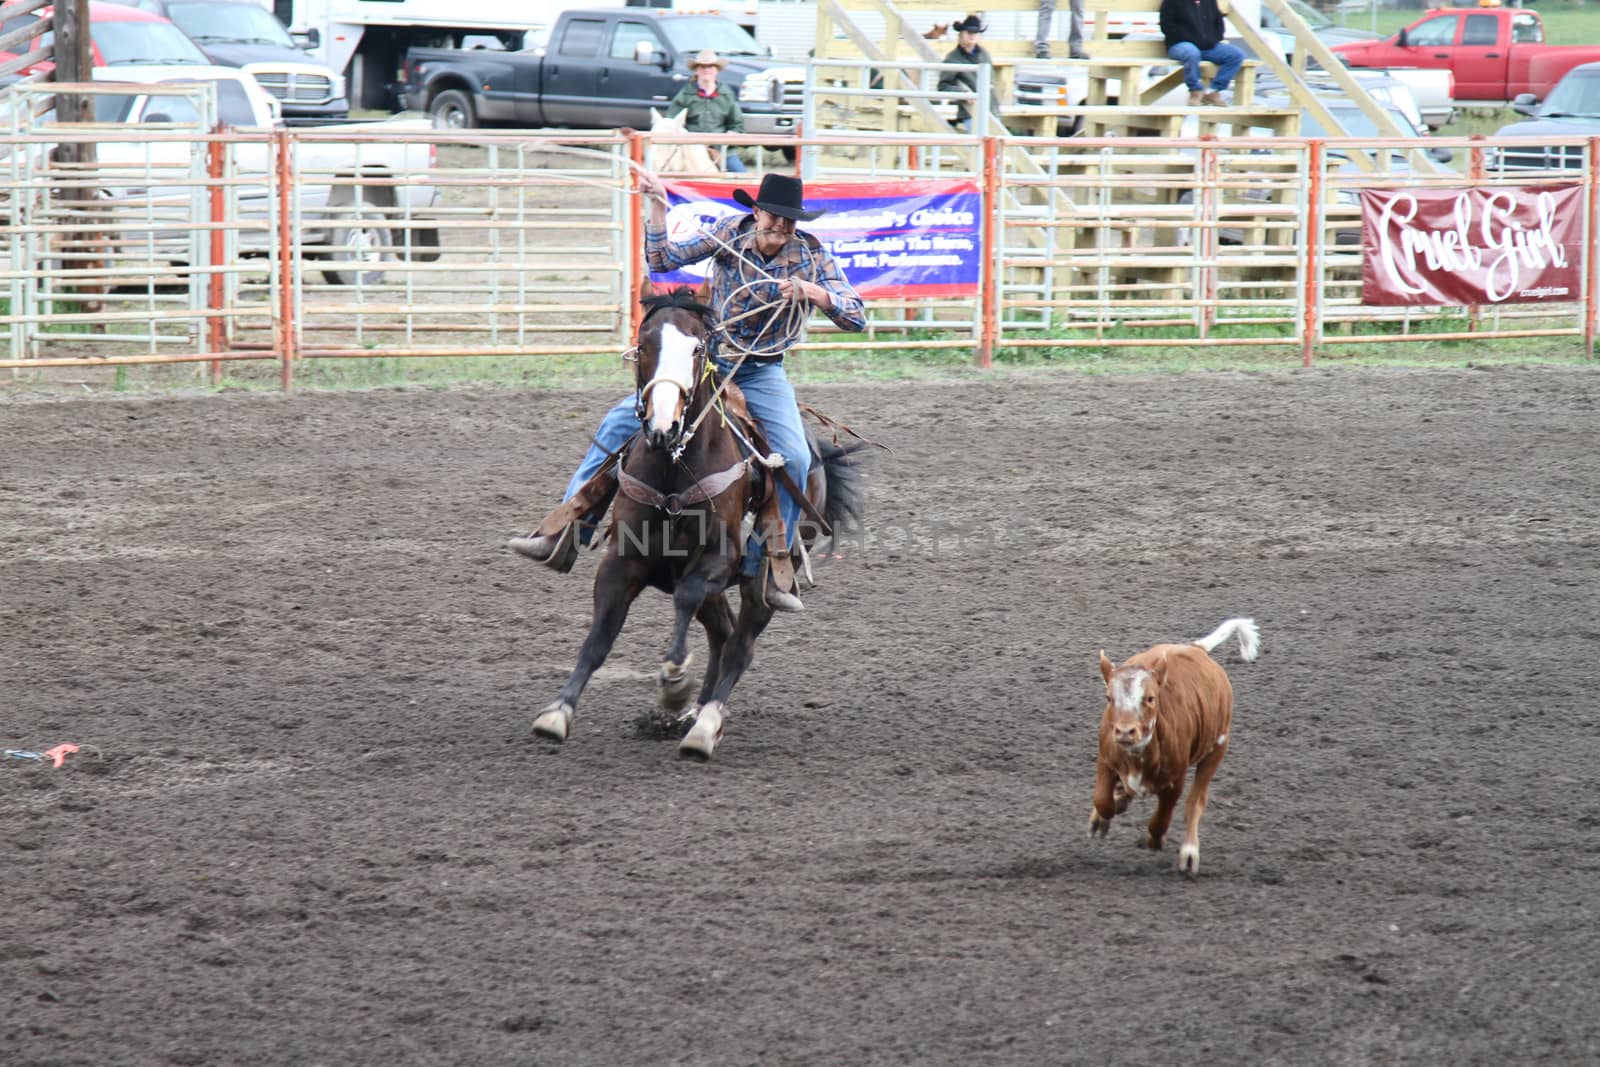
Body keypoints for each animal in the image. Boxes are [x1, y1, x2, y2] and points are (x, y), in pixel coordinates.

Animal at [534, 283, 864, 758]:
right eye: (645, 344)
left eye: (696, 348)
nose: (663, 427)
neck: (674, 465)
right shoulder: (621, 561)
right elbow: (600, 637)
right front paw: (557, 712)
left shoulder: (717, 560)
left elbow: (686, 599)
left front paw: (674, 683)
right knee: (721, 633)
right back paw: (694, 714)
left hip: (760, 581)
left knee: (740, 645)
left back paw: (705, 725)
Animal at [1088, 617, 1260, 876]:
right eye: (1110, 698)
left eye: (1150, 698)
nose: (1125, 731)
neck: (1137, 758)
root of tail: (1196, 648)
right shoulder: (1105, 758)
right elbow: (1103, 801)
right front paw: (1106, 812)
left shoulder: (1175, 780)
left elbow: (1162, 818)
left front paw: (1155, 840)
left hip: (1217, 747)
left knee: (1195, 802)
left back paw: (1189, 853)